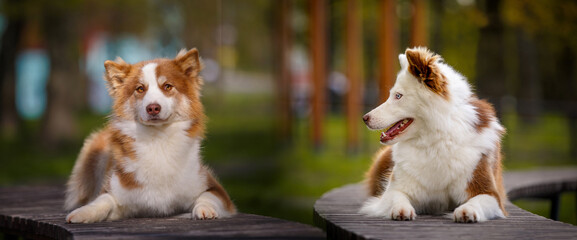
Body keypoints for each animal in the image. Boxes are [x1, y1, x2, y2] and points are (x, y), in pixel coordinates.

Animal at [63, 48, 234, 223]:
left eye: (167, 86)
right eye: (140, 89)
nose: (153, 108)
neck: (157, 140)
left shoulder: (214, 187)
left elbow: (207, 197)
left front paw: (204, 209)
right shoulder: (117, 192)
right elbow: (103, 200)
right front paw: (83, 212)